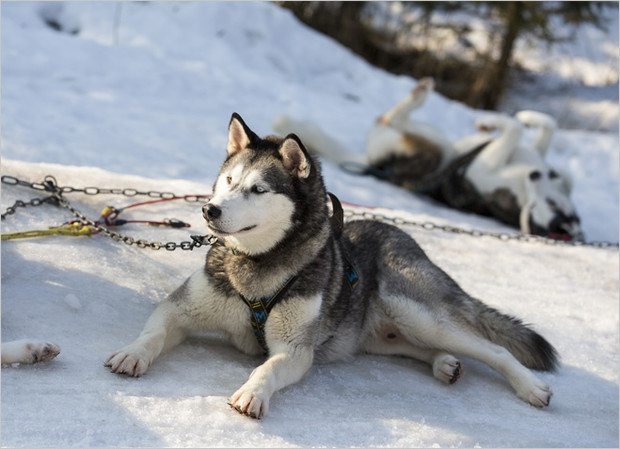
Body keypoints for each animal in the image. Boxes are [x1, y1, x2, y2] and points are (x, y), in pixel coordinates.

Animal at [104, 112, 560, 416]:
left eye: (258, 189)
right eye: (229, 180)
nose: (209, 210)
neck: (256, 265)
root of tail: (402, 235)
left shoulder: (294, 349)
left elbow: (268, 369)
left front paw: (253, 392)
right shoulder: (180, 308)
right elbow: (154, 332)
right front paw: (132, 354)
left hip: (419, 313)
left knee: (494, 348)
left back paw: (530, 386)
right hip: (382, 333)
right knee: (419, 346)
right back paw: (443, 363)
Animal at [274, 76, 584, 242]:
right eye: (554, 204)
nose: (536, 175)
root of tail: (375, 164)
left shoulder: (487, 167)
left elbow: (516, 128)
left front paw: (496, 122)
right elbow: (547, 129)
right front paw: (513, 120)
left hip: (433, 148)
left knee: (389, 120)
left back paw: (420, 93)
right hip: (437, 141)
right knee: (387, 119)